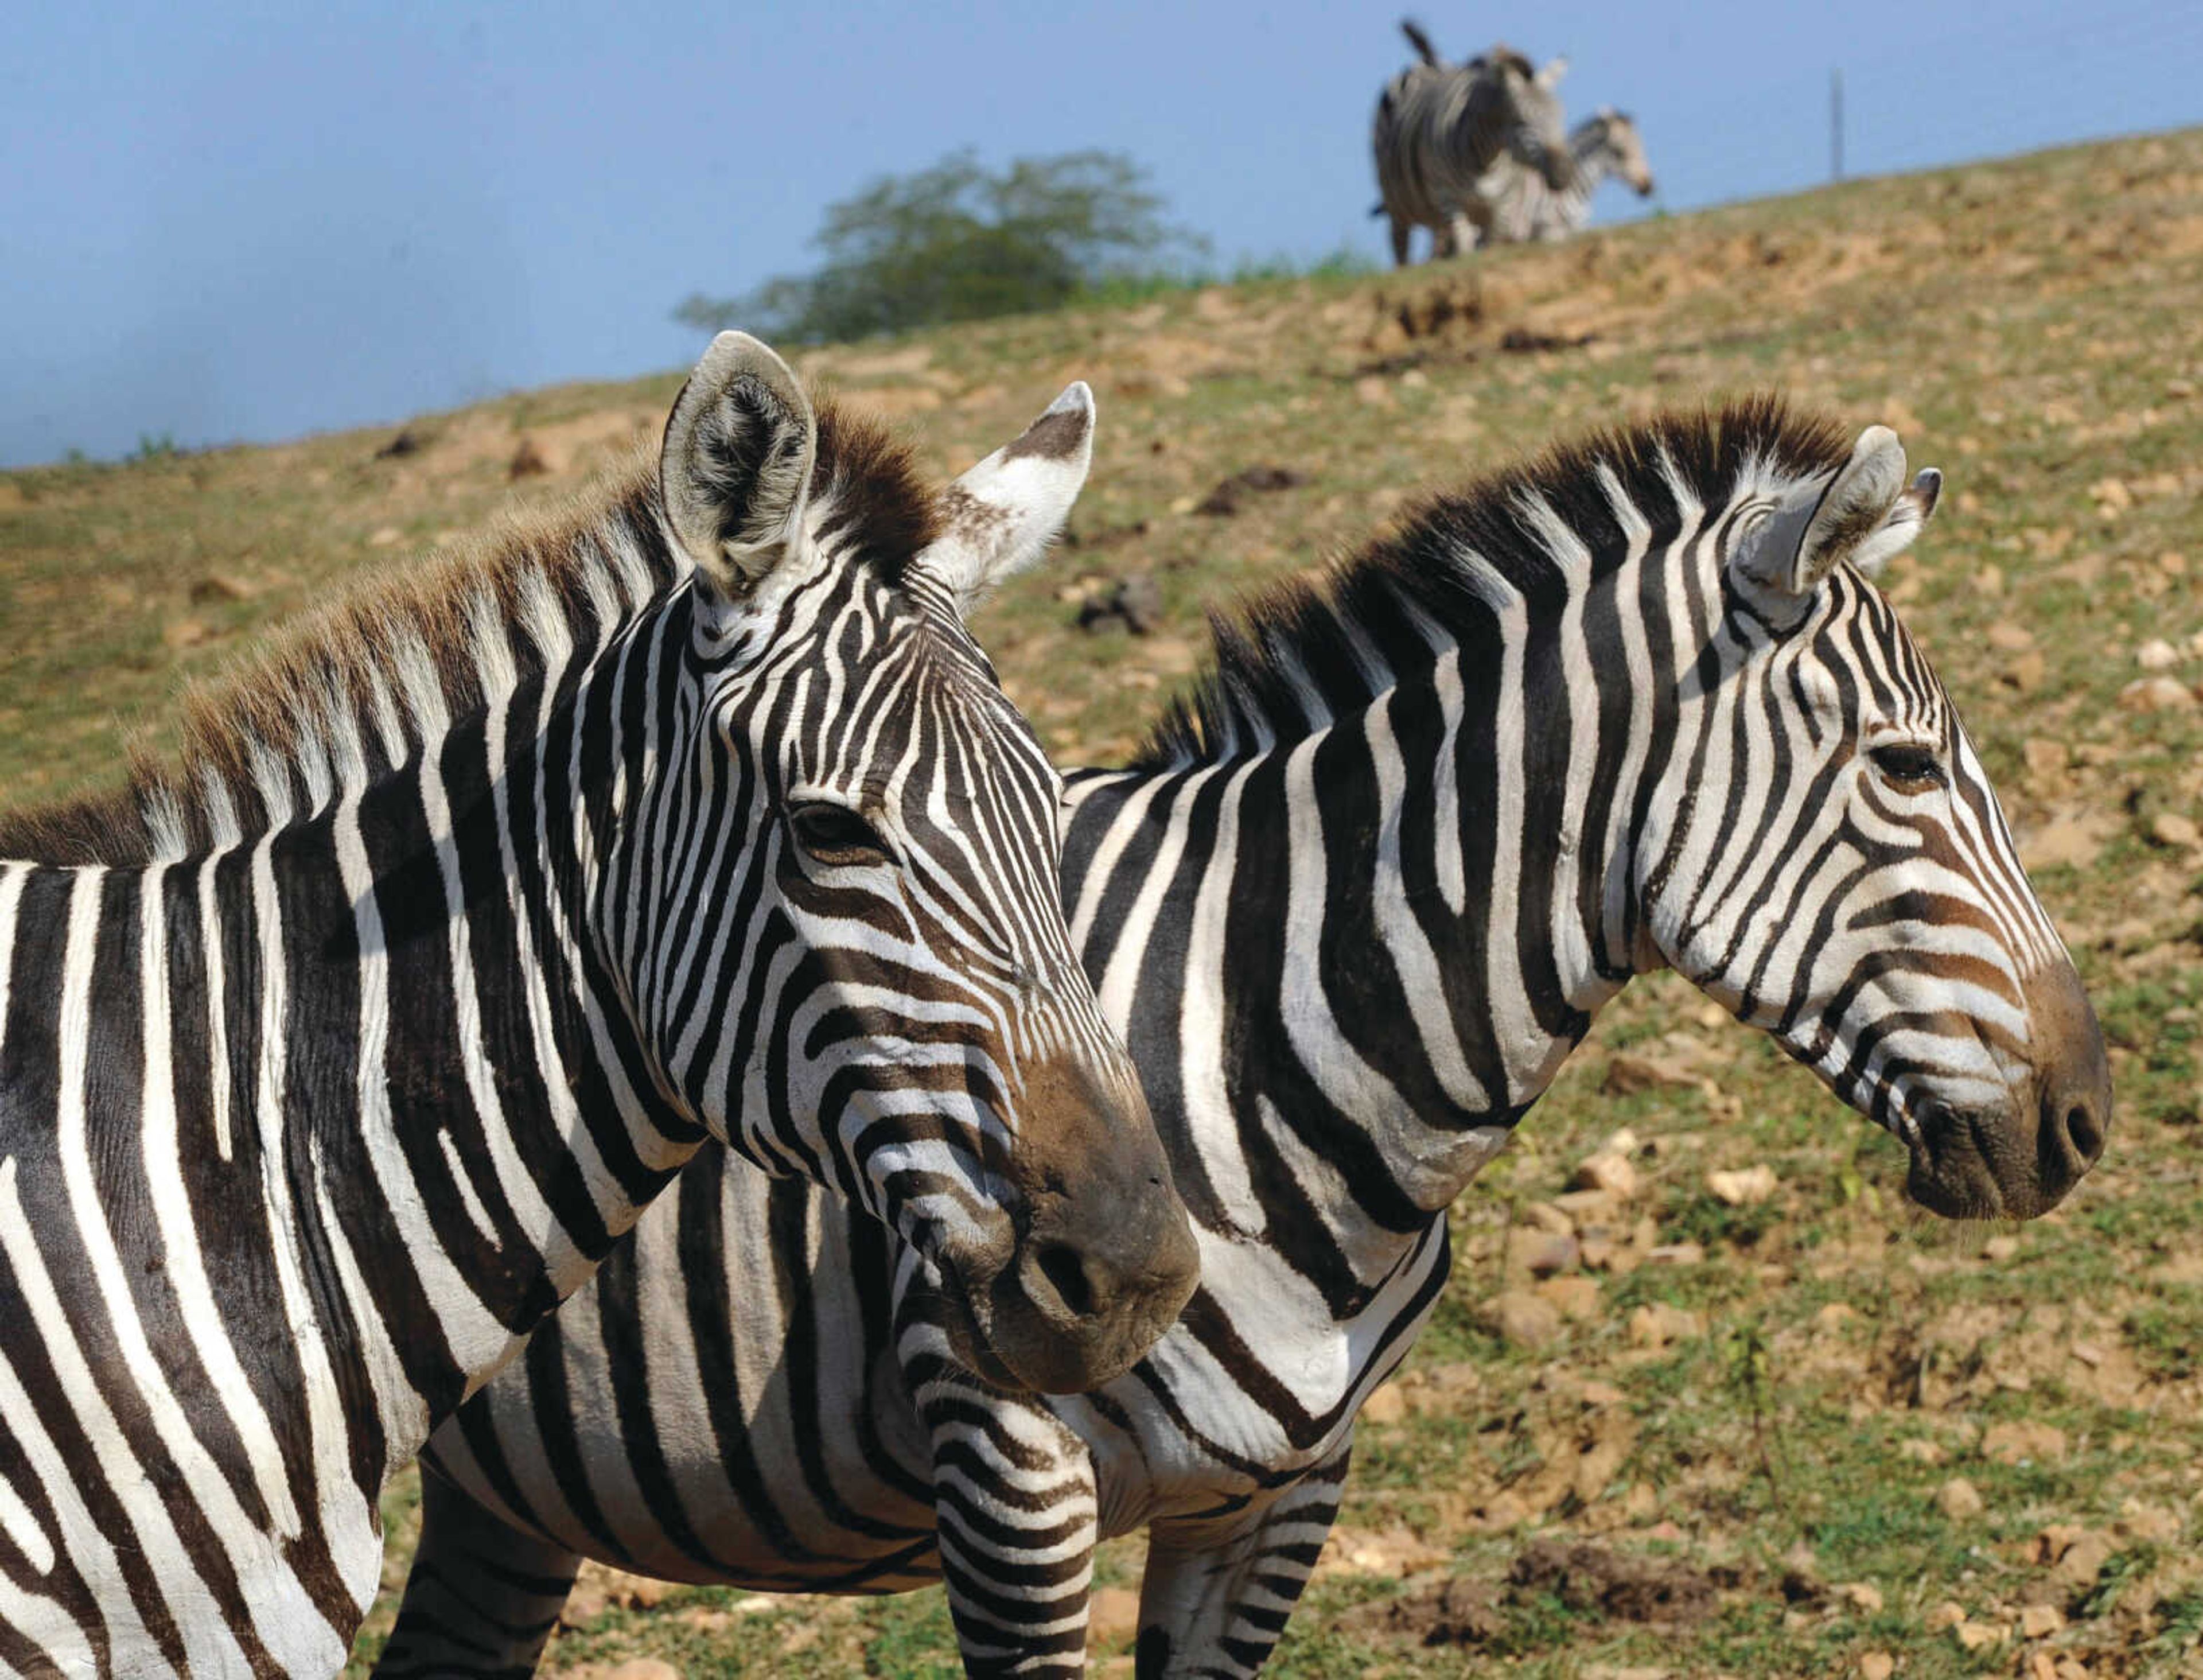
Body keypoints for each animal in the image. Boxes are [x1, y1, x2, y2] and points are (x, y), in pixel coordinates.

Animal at [379, 396, 2115, 1675]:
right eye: (1903, 767)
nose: (2086, 1119)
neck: (1260, 1040)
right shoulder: (1005, 1467)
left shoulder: (1279, 1498)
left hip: (496, 1491)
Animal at [1365, 20, 1577, 265]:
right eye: (1521, 120)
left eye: (1560, 117)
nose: (1564, 172)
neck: (1486, 159)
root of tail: (1428, 64)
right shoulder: (1449, 202)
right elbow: (1464, 250)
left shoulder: (1501, 210)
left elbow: (1489, 249)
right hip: (1397, 204)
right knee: (1401, 247)